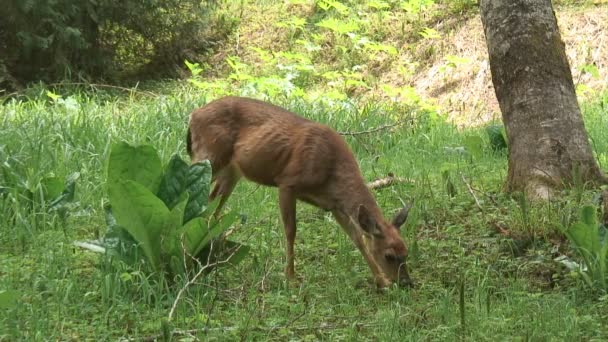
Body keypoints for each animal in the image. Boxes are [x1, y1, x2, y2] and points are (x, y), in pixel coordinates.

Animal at [186, 96, 414, 288]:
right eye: (389, 255)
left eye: (406, 251)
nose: (406, 283)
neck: (331, 172)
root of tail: (193, 115)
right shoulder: (287, 182)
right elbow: (291, 231)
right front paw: (291, 277)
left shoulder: (334, 205)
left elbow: (357, 237)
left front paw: (381, 281)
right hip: (208, 157)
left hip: (231, 171)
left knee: (212, 206)